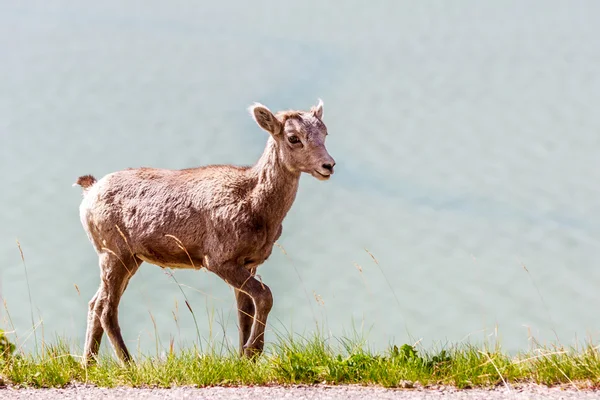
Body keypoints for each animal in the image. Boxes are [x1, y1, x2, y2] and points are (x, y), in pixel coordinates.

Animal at [74, 99, 336, 362]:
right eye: (293, 138)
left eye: (325, 133)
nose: (328, 166)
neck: (255, 204)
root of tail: (90, 192)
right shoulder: (219, 261)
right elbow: (264, 296)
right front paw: (253, 351)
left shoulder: (249, 263)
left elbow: (245, 311)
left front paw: (243, 356)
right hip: (114, 255)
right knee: (107, 309)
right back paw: (128, 364)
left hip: (129, 260)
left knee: (95, 304)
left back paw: (89, 363)